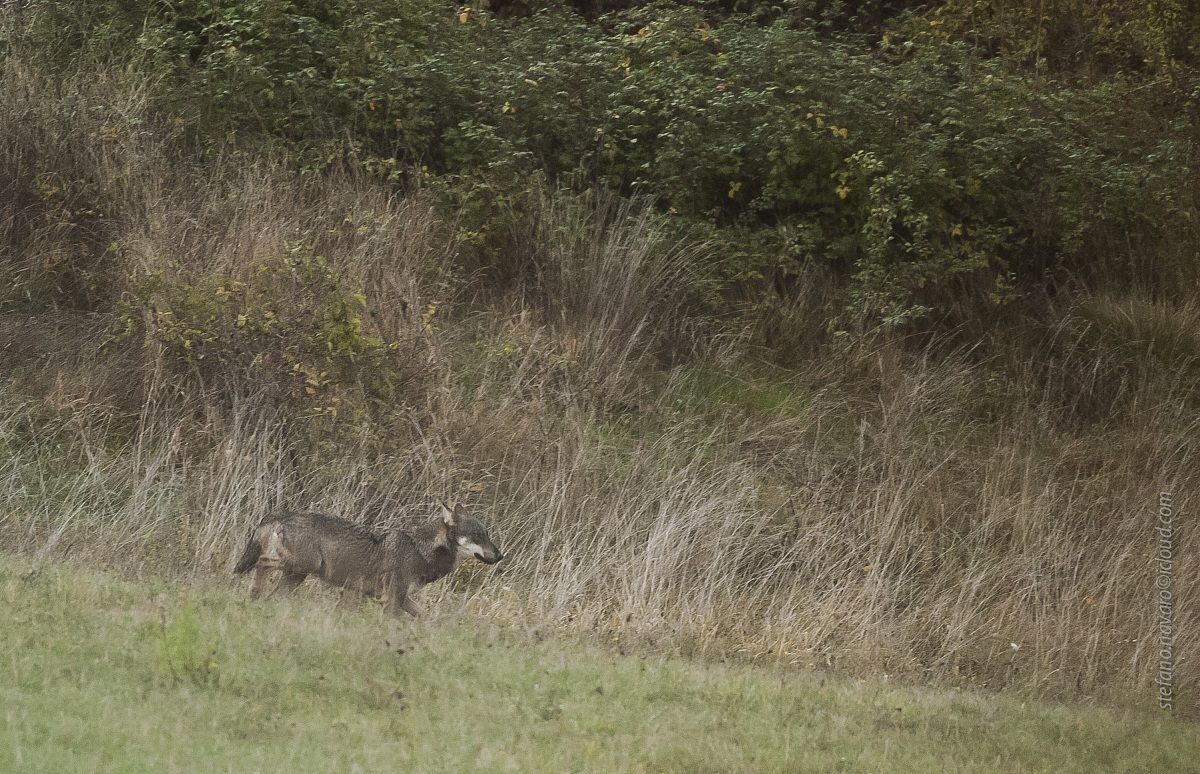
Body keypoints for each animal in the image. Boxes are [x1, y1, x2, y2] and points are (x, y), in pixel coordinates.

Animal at [232, 502, 503, 617]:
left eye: (487, 535)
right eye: (479, 536)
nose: (501, 556)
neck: (420, 549)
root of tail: (281, 513)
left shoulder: (404, 598)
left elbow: (426, 618)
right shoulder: (391, 599)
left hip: (297, 575)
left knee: (272, 593)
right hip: (300, 566)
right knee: (262, 562)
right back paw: (253, 593)